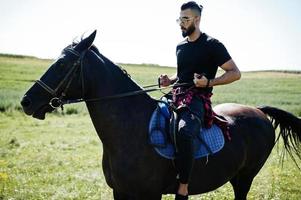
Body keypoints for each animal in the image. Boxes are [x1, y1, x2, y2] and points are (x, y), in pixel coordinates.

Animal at [19, 30, 298, 199]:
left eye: (62, 64)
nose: (26, 101)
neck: (131, 131)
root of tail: (259, 111)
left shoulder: (149, 195)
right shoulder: (120, 193)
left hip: (245, 178)